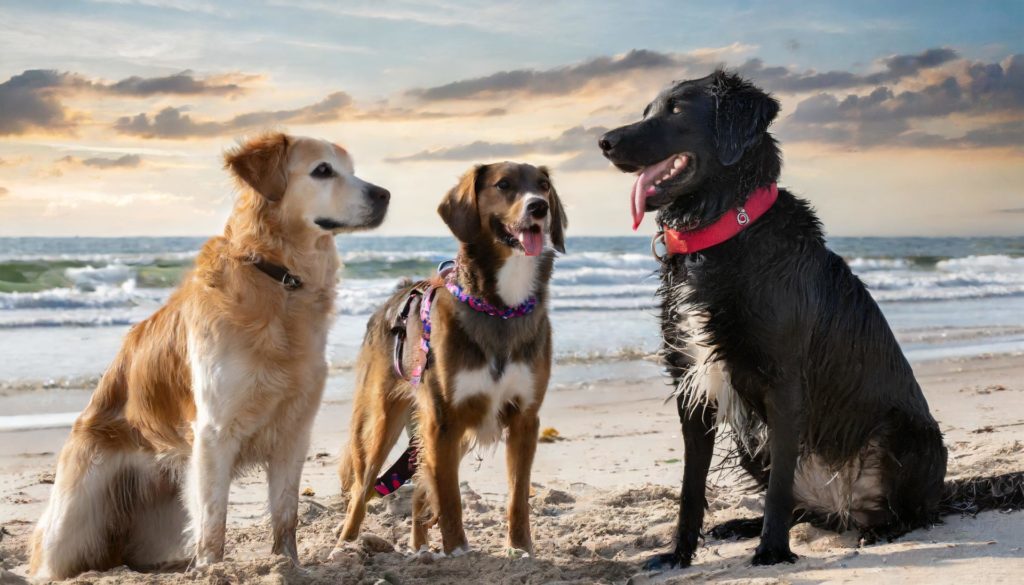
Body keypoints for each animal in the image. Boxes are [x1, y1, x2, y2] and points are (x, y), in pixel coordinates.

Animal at [28, 130, 389, 577]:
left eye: (352, 170)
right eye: (323, 170)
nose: (385, 195)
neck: (278, 278)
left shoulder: (294, 431)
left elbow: (285, 515)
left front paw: (287, 565)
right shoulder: (215, 433)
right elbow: (214, 521)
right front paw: (212, 570)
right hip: (75, 516)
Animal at [331, 162, 565, 557]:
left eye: (544, 185)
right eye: (504, 185)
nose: (539, 207)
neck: (501, 307)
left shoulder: (524, 419)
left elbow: (518, 496)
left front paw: (519, 549)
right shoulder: (444, 420)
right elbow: (450, 496)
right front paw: (458, 550)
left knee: (417, 491)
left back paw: (420, 548)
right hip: (380, 422)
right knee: (362, 490)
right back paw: (345, 545)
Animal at [598, 72, 954, 569]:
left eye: (677, 109)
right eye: (647, 110)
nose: (604, 142)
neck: (724, 231)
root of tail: (843, 506)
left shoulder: (783, 385)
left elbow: (779, 488)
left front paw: (771, 552)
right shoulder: (692, 386)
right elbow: (690, 486)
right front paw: (678, 553)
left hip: (909, 434)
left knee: (908, 514)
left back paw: (876, 532)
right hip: (750, 440)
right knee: (808, 511)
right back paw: (740, 525)